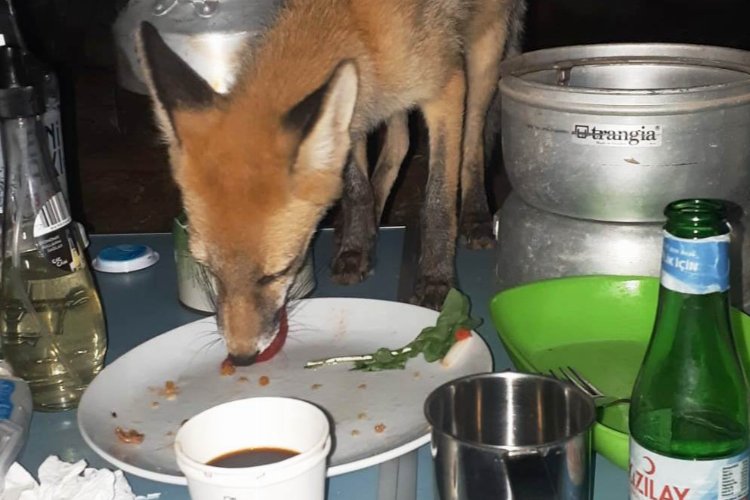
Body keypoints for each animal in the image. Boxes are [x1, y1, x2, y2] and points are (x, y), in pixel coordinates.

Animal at [141, 0, 528, 366]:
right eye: (209, 270)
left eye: (280, 271)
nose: (241, 356)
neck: (358, 25)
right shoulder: (352, 115)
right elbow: (356, 188)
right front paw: (355, 248)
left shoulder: (445, 86)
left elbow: (438, 201)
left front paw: (435, 279)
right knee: (400, 144)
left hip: (483, 55)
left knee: (473, 143)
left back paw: (476, 218)